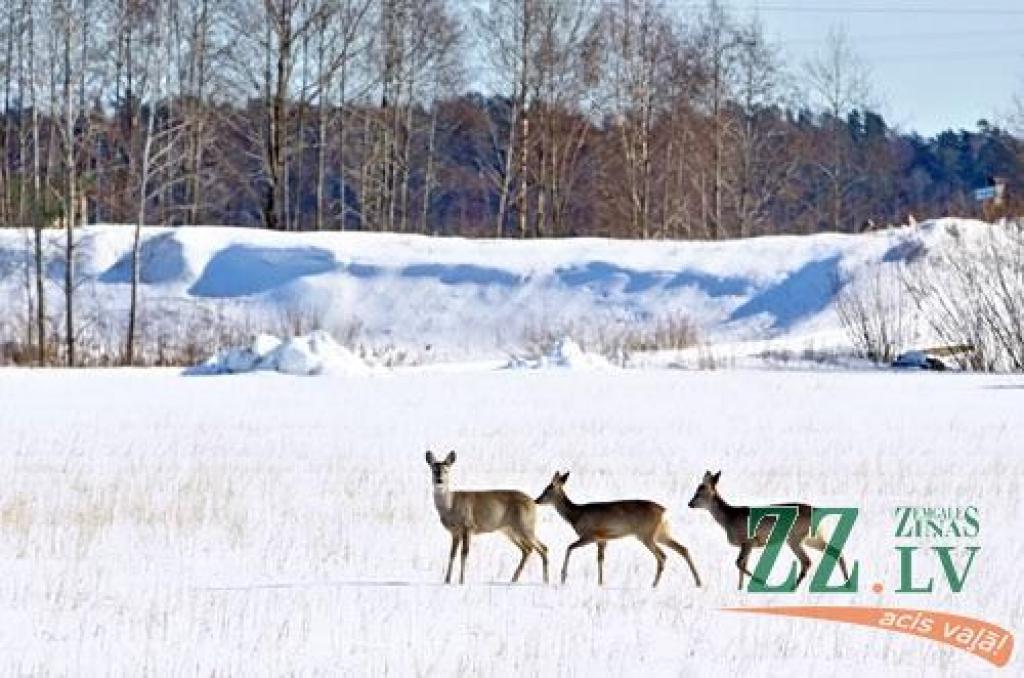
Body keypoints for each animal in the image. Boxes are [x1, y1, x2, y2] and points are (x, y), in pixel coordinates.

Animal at [425, 450, 552, 585]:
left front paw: (461, 581)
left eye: (446, 470)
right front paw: (447, 581)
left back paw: (545, 580)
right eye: (434, 470)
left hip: (525, 525)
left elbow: (464, 554)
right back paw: (514, 579)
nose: (439, 480)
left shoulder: (468, 526)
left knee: (542, 548)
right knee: (528, 549)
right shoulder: (455, 532)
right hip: (509, 529)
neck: (450, 506)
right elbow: (452, 554)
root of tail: (533, 502)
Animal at [532, 473, 700, 589]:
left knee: (662, 556)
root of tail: (664, 512)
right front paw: (600, 583)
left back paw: (654, 584)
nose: (536, 500)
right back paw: (698, 582)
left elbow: (569, 547)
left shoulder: (590, 535)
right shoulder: (602, 539)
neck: (576, 515)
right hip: (662, 533)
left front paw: (563, 577)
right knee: (683, 549)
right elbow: (600, 559)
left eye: (548, 489)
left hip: (646, 535)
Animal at [688, 471, 856, 594]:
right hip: (811, 537)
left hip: (795, 538)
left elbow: (738, 563)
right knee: (834, 551)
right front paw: (740, 589)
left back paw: (792, 588)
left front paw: (763, 582)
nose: (690, 503)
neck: (729, 518)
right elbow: (742, 565)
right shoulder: (748, 545)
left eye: (700, 491)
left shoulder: (748, 540)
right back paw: (847, 584)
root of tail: (817, 510)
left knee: (807, 561)